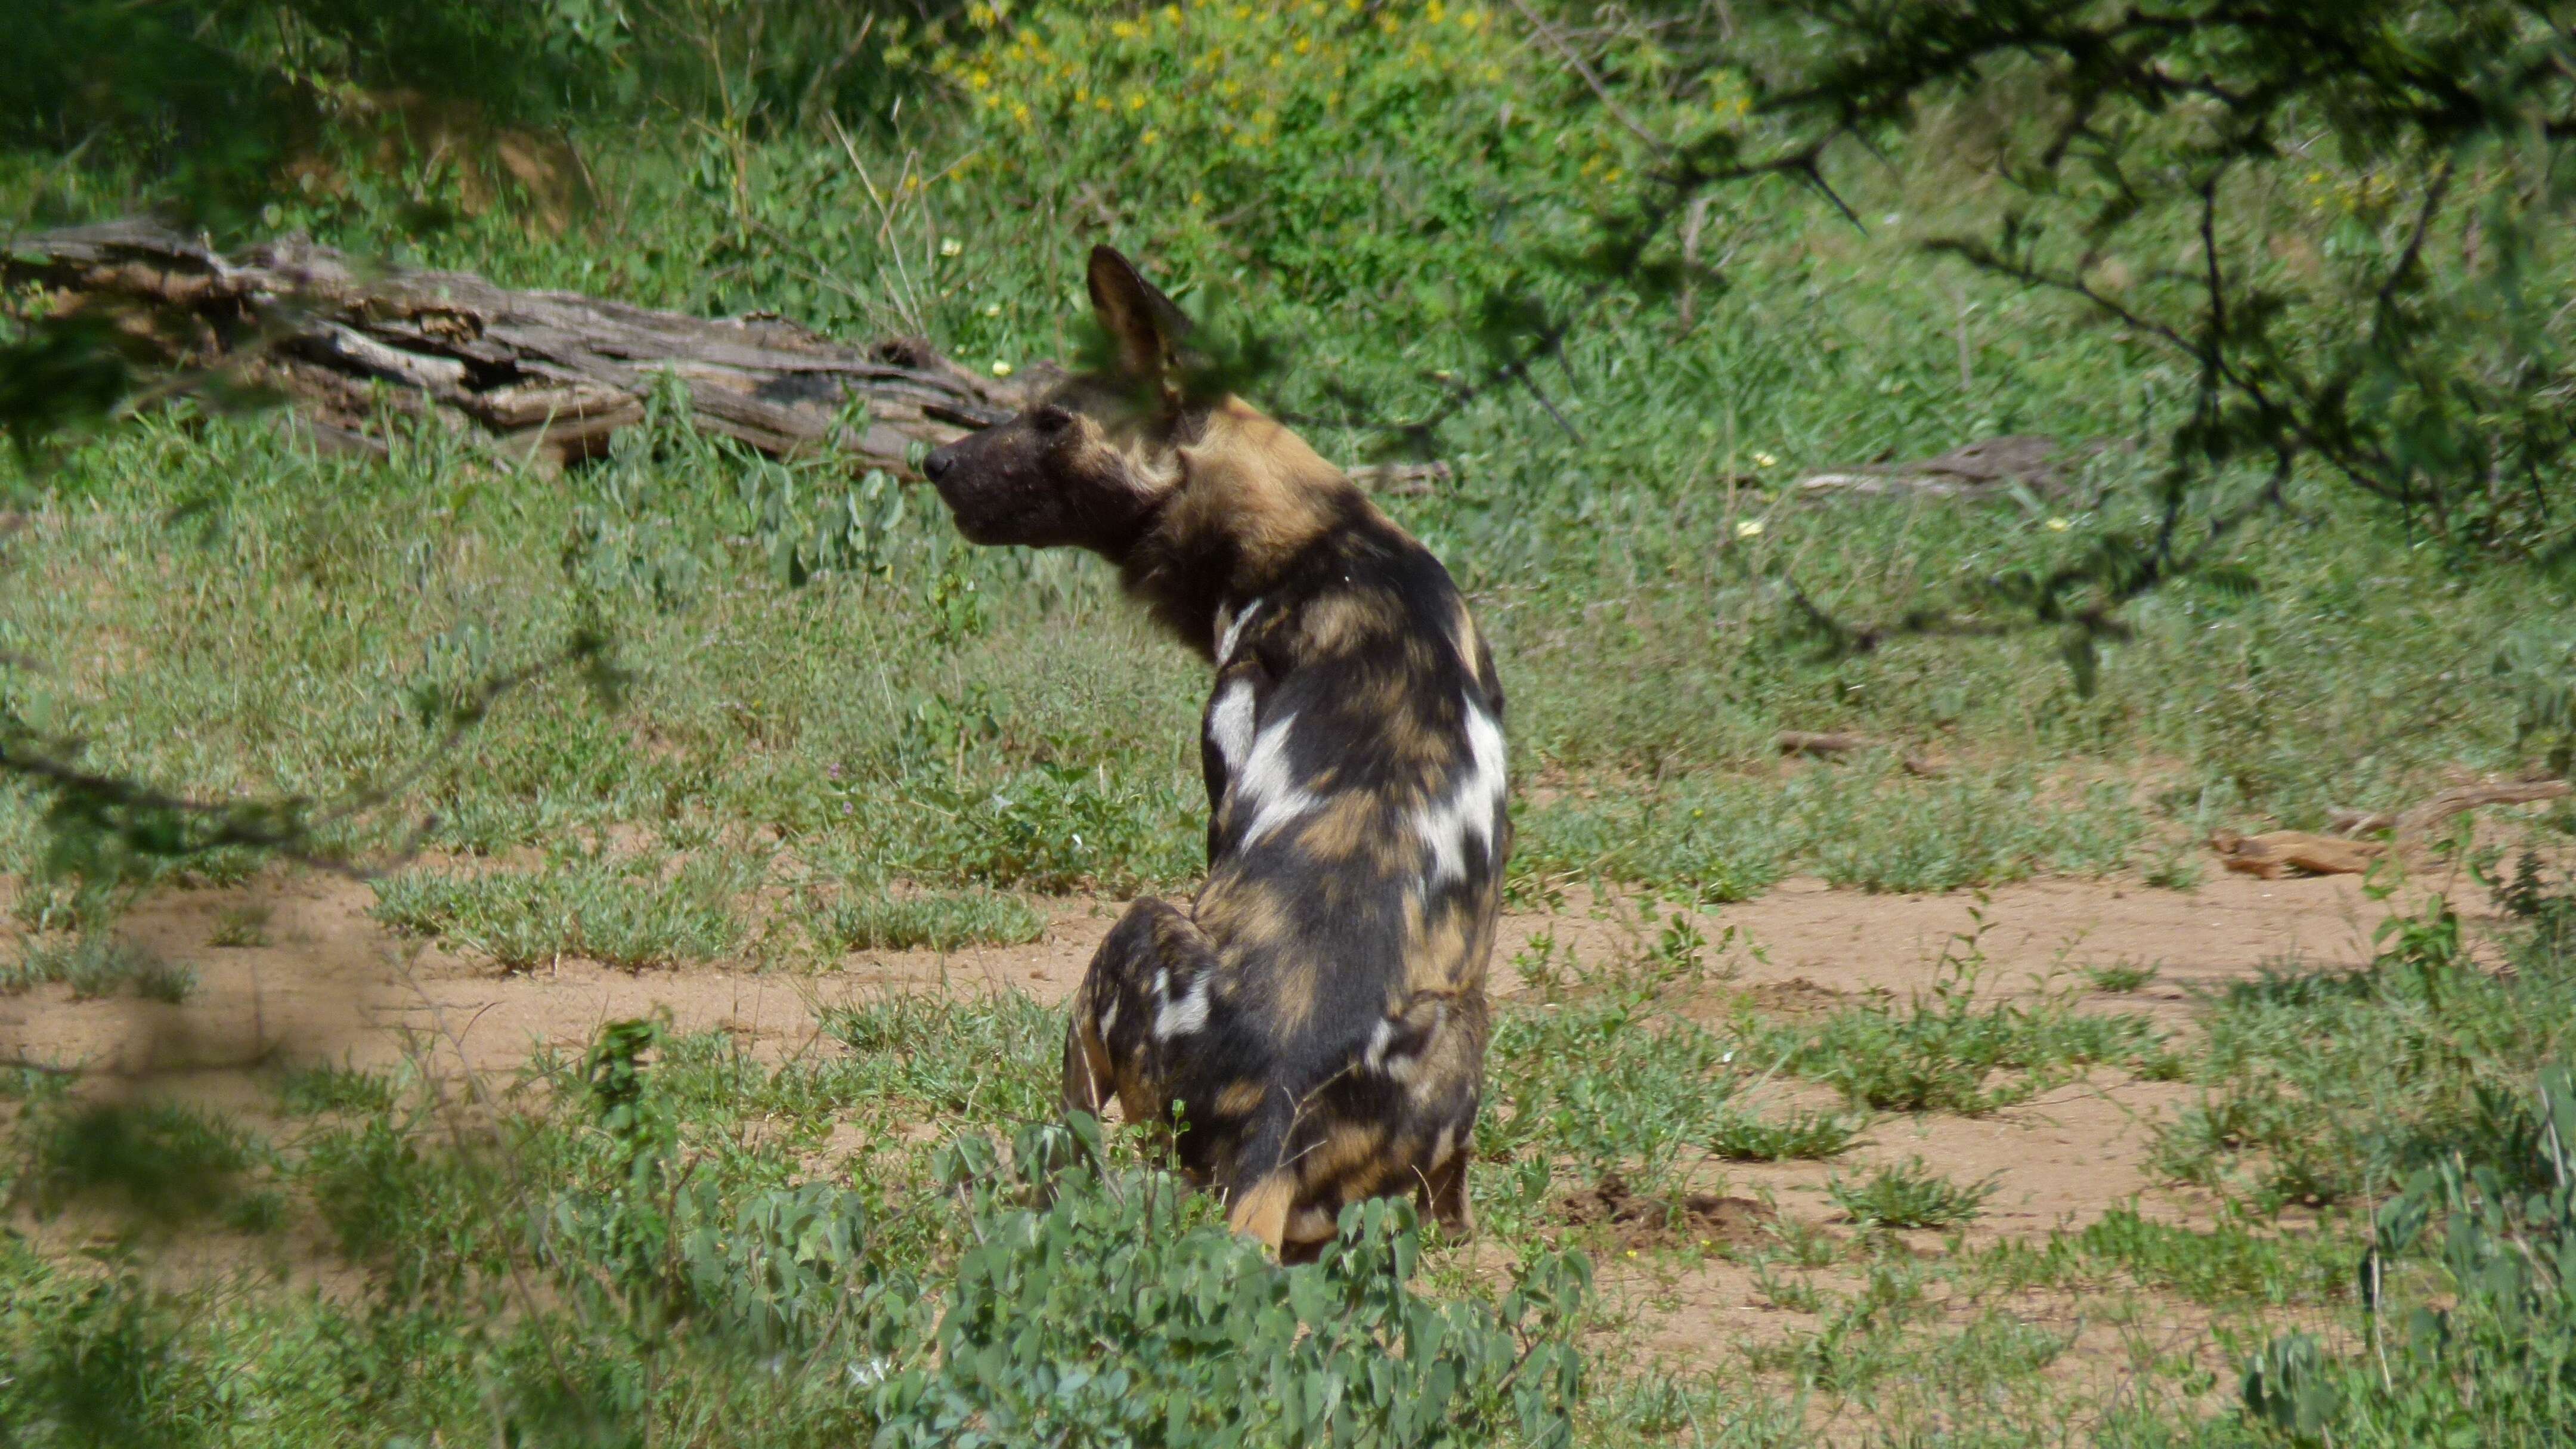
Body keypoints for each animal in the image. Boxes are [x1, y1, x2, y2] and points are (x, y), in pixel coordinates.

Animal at [922, 247, 1504, 1253]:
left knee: (1069, 1144)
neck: (1324, 542)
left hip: (1134, 926)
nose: (935, 460)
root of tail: (1278, 1111)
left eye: (1053, 420)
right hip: (1464, 1030)